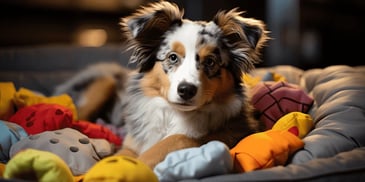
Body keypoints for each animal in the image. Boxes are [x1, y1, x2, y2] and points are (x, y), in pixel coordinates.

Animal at [116, 0, 268, 166]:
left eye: (210, 61)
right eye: (173, 57)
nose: (186, 90)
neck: (176, 114)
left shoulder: (227, 134)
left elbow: (177, 139)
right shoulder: (131, 143)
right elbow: (121, 155)